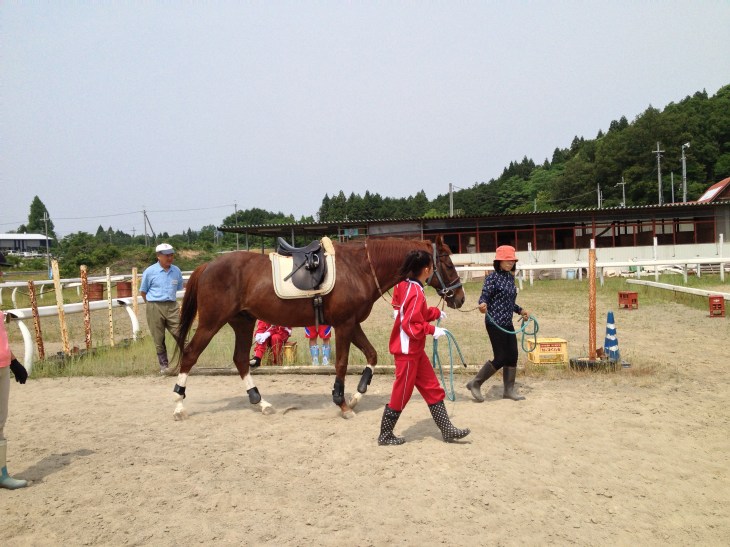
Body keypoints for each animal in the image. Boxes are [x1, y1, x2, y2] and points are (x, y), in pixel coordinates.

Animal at [170, 236, 465, 420]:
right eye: (448, 263)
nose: (460, 297)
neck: (359, 268)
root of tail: (207, 265)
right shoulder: (344, 325)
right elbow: (342, 363)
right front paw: (343, 403)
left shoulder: (352, 324)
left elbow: (371, 355)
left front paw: (356, 396)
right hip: (211, 323)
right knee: (190, 355)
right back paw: (178, 406)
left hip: (242, 322)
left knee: (241, 359)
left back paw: (261, 402)